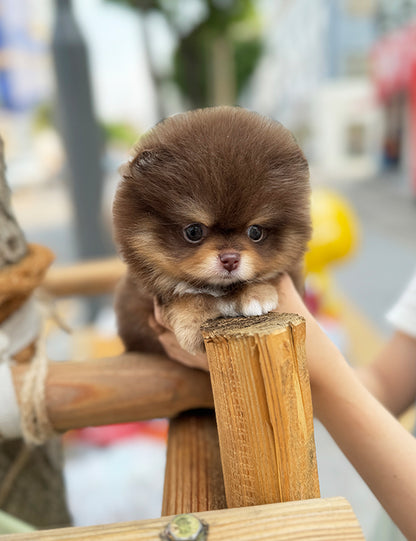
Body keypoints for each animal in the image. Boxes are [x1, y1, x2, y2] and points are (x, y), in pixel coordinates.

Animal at [112, 106, 310, 354]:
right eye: (194, 231)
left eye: (255, 232)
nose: (230, 259)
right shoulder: (142, 295)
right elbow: (182, 295)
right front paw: (192, 323)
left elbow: (269, 274)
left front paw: (256, 294)